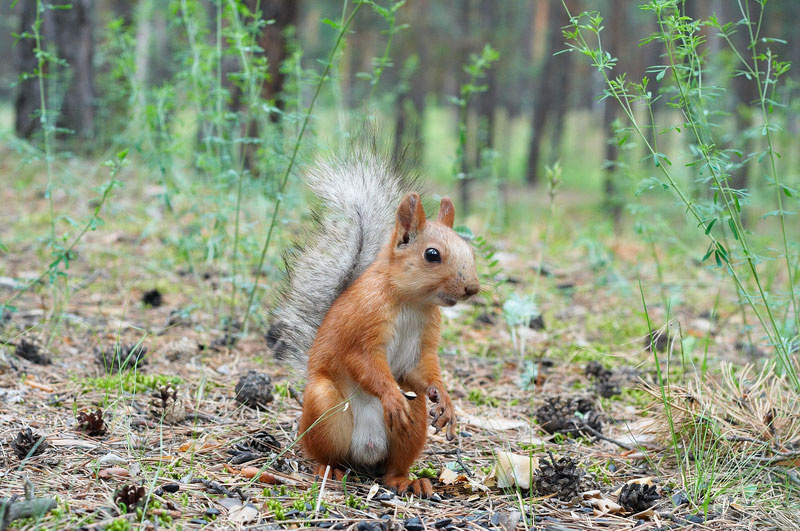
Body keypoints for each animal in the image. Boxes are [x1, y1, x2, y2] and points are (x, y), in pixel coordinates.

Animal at [268, 146, 480, 497]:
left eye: (471, 251)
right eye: (432, 254)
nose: (472, 289)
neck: (412, 304)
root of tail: (366, 452)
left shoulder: (425, 340)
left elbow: (424, 368)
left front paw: (446, 401)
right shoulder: (362, 324)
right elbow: (363, 362)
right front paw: (391, 396)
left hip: (412, 420)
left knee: (392, 467)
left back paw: (408, 481)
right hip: (324, 407)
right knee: (324, 454)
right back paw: (329, 470)